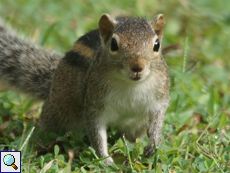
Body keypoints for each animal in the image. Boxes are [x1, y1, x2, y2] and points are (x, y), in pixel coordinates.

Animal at [0, 13, 169, 165]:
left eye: (156, 45)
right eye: (114, 44)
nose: (137, 67)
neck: (130, 85)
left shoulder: (161, 95)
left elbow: (159, 115)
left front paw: (154, 143)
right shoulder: (94, 105)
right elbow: (97, 134)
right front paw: (106, 161)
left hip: (137, 124)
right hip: (57, 112)